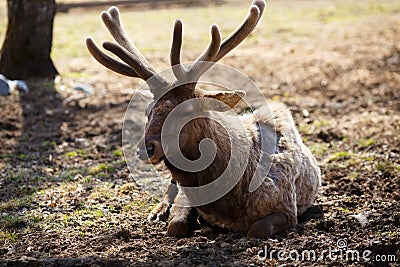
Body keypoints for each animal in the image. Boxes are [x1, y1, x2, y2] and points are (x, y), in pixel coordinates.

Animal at [86, 0, 320, 239]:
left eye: (187, 110)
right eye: (148, 111)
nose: (146, 148)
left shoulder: (286, 207)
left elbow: (258, 229)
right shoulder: (186, 197)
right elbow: (176, 225)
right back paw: (157, 211)